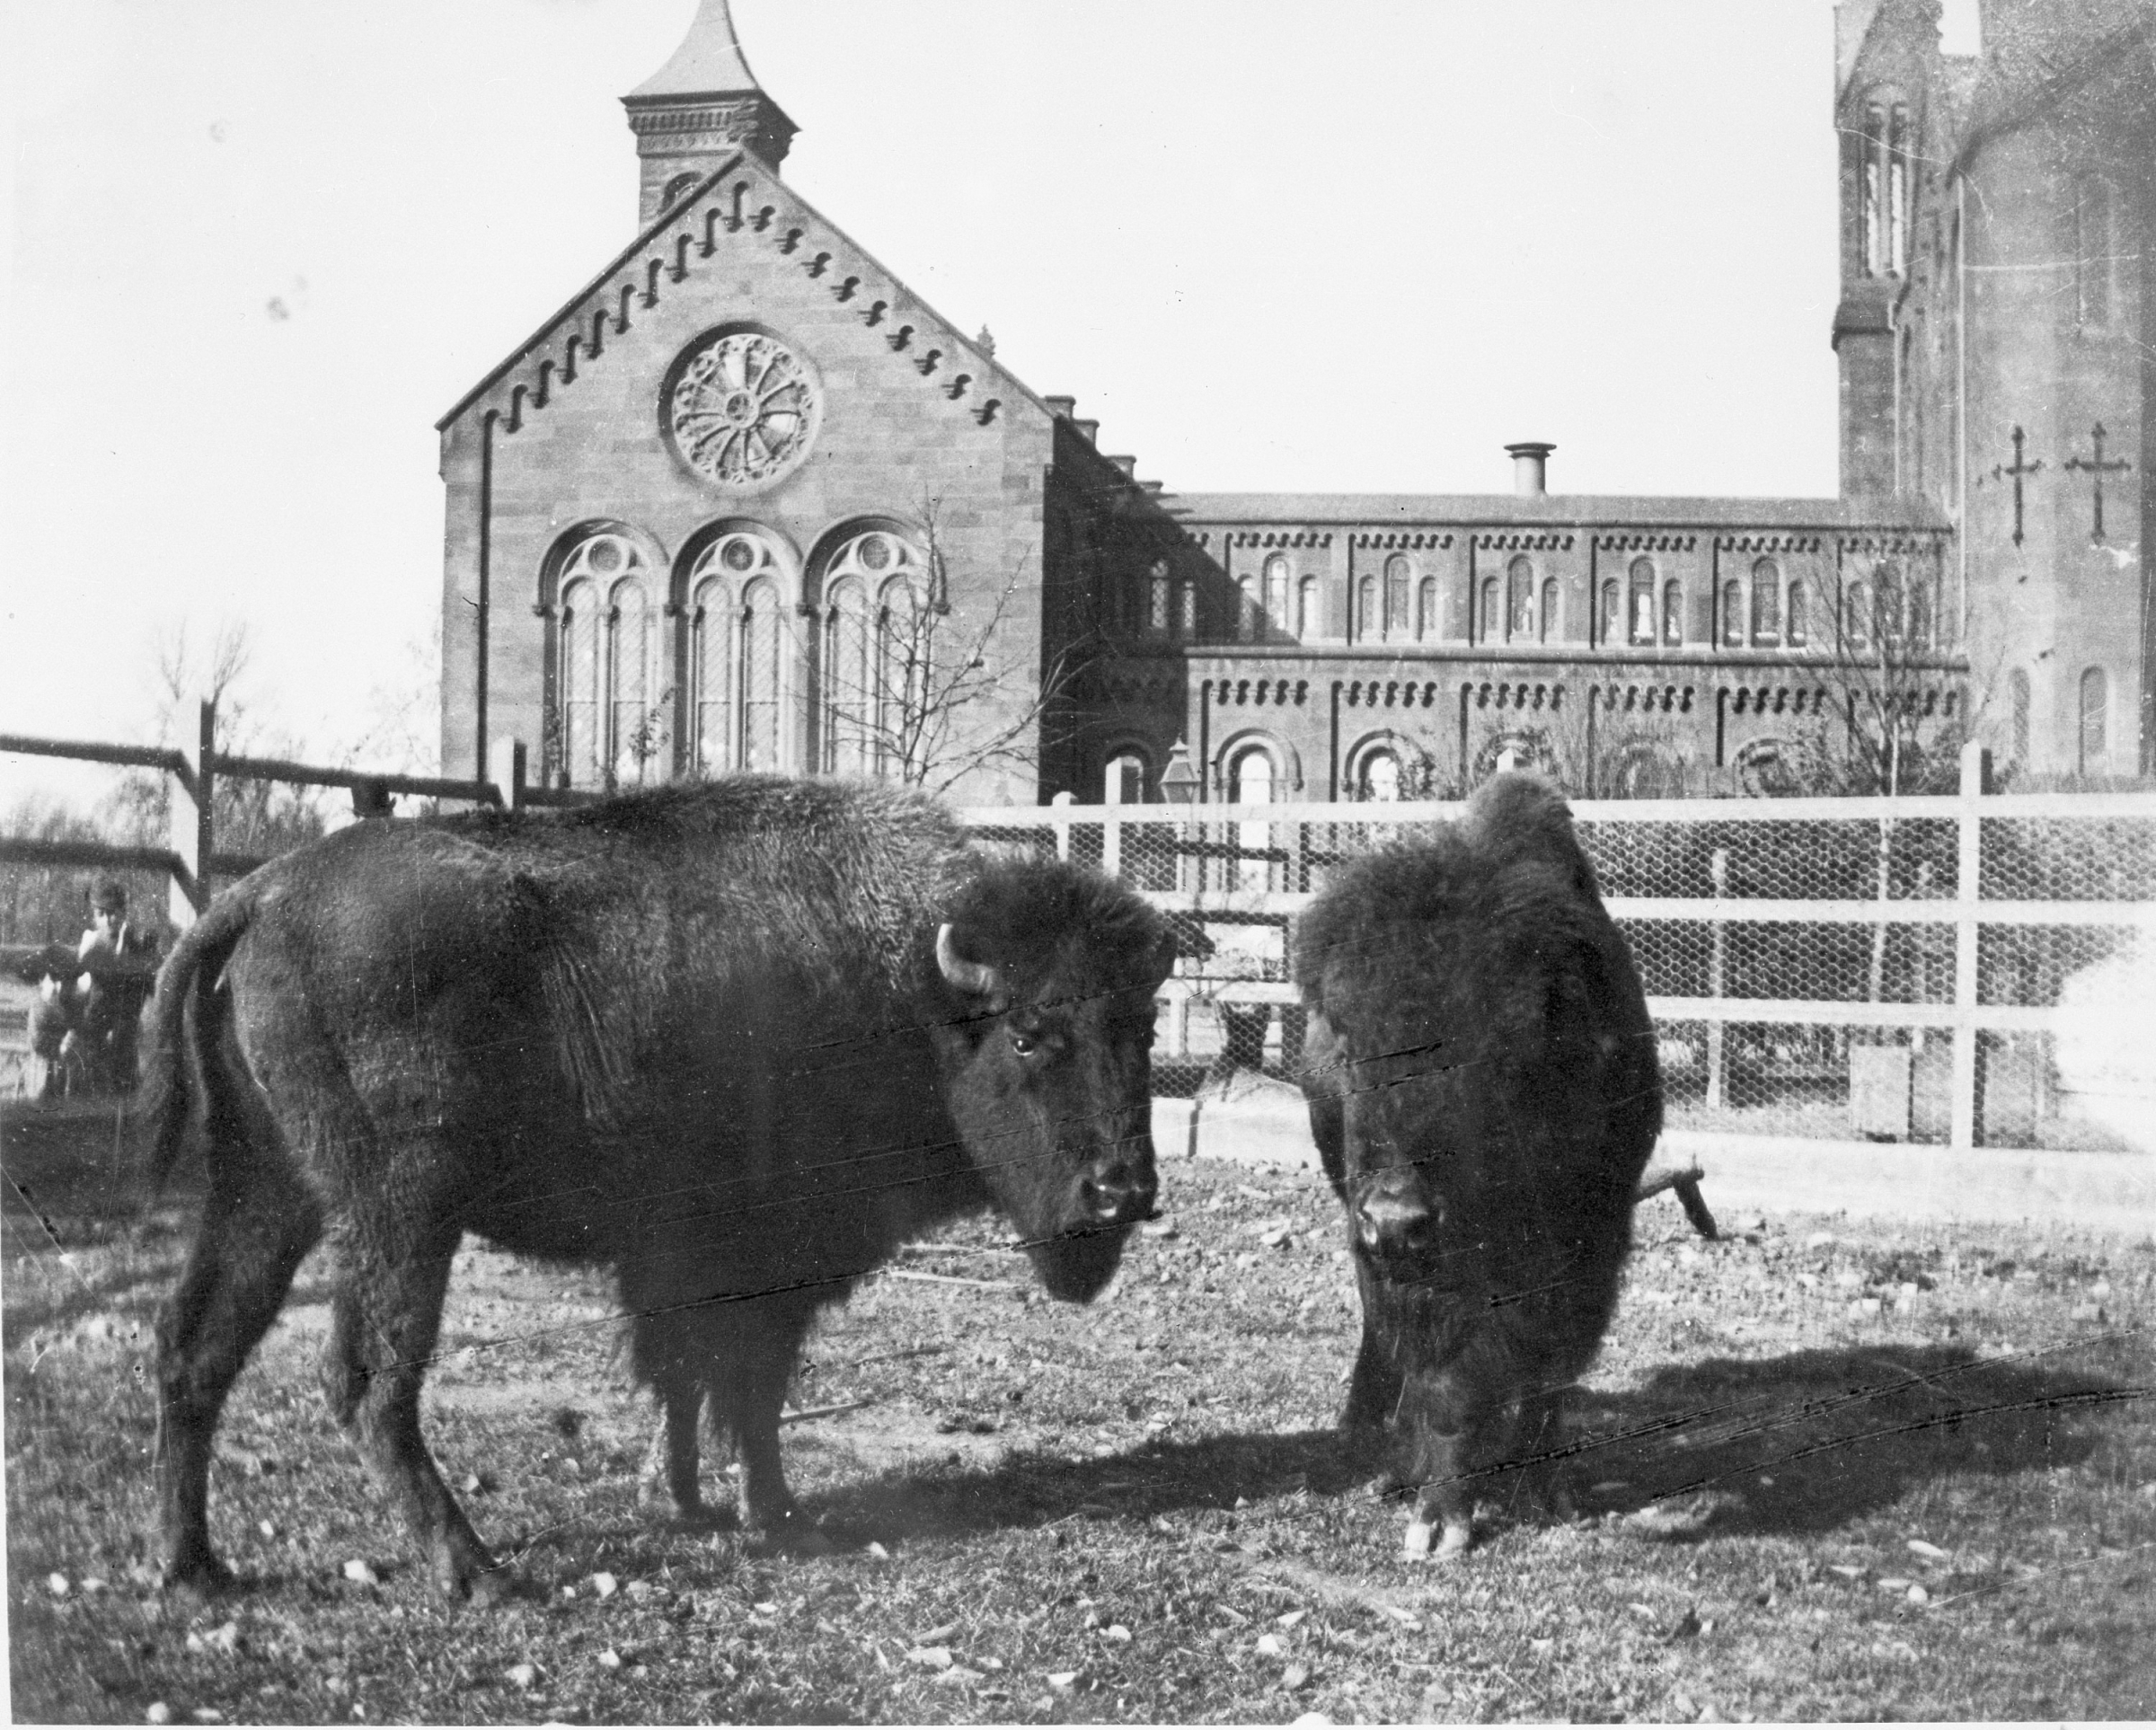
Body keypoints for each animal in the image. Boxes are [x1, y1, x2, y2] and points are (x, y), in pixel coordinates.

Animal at [143, 776, 1172, 1596]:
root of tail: (262, 894)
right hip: (398, 1213)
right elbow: (748, 1385)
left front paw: (680, 1500)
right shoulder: (766, 1261)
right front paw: (776, 1514)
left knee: (198, 1343)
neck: (914, 991)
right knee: (369, 1376)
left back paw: (195, 1569)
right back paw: (475, 1572)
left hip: (266, 1188)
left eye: (1147, 1027)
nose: (1120, 1192)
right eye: (1030, 1035)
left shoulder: (677, 1261)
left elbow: (682, 1374)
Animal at [1285, 776, 1656, 1553]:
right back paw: (1383, 1460)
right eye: (1348, 1045)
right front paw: (1437, 1518)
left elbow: (1549, 1363)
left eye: (1505, 1048)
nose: (1398, 1217)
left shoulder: (1592, 1241)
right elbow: (1439, 1374)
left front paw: (1542, 1489)